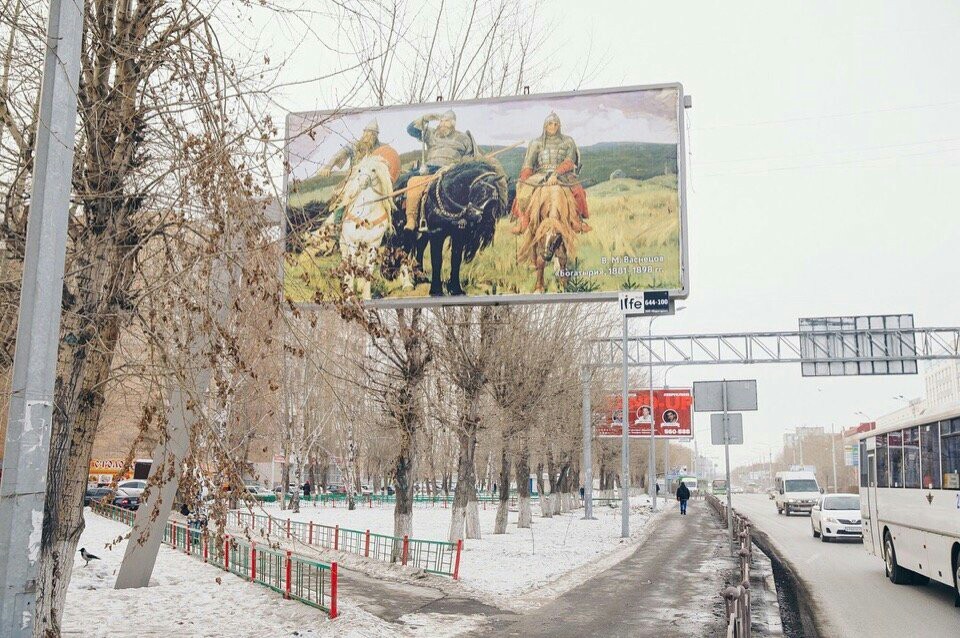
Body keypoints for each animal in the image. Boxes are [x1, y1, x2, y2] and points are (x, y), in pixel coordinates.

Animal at [326, 155, 394, 300]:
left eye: (373, 170)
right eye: (359, 170)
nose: (362, 182)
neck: (366, 213)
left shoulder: (373, 244)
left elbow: (368, 269)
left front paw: (366, 295)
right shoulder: (353, 243)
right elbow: (352, 267)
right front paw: (350, 294)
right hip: (345, 245)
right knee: (347, 264)